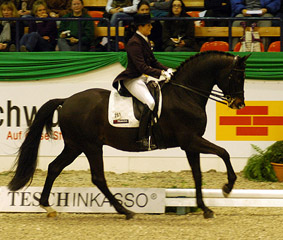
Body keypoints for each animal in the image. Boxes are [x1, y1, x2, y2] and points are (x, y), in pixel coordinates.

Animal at [8, 51, 251, 219]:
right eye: (236, 77)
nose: (239, 104)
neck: (186, 95)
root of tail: (66, 100)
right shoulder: (191, 140)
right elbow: (224, 152)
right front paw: (227, 188)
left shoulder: (190, 145)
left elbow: (198, 175)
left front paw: (205, 209)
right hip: (90, 146)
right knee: (97, 177)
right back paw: (125, 211)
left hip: (75, 146)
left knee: (54, 168)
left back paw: (48, 206)